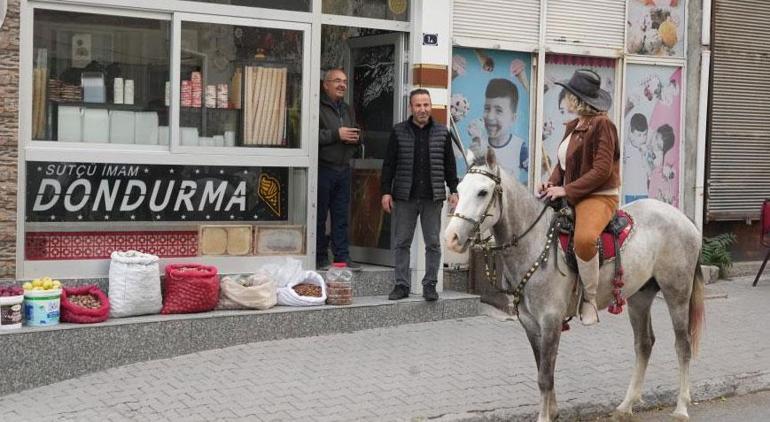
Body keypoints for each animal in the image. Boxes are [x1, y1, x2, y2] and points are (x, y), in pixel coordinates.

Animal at [444, 148, 704, 422]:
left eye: (483, 192)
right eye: (459, 188)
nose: (451, 238)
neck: (535, 243)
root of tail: (683, 218)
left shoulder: (550, 321)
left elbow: (545, 377)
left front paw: (545, 417)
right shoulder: (530, 323)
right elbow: (543, 370)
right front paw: (554, 411)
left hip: (677, 293)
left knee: (683, 345)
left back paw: (681, 408)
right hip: (639, 297)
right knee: (644, 344)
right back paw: (626, 405)